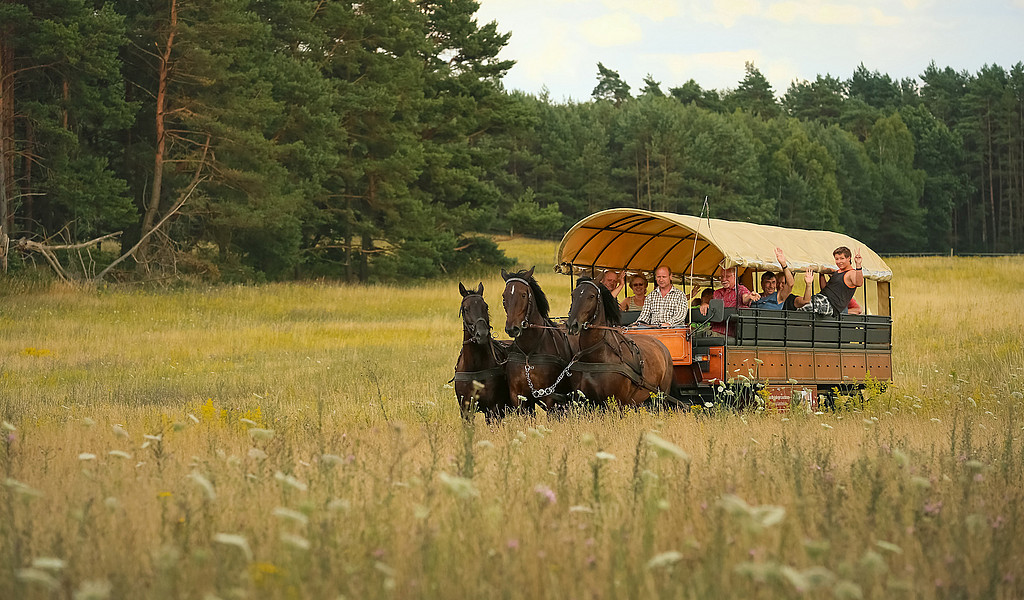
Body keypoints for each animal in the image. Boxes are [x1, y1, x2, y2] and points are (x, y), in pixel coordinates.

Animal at [454, 282, 512, 423]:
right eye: (465, 309)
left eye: (485, 306)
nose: (482, 334)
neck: (475, 367)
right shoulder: (465, 411)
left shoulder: (493, 410)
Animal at [500, 267, 573, 413]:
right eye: (504, 297)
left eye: (523, 295)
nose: (512, 328)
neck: (528, 352)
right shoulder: (518, 396)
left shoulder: (550, 397)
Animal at [564, 277, 675, 408]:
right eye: (573, 294)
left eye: (591, 296)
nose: (572, 325)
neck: (596, 357)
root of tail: (661, 344)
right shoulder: (586, 401)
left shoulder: (617, 402)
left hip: (663, 394)